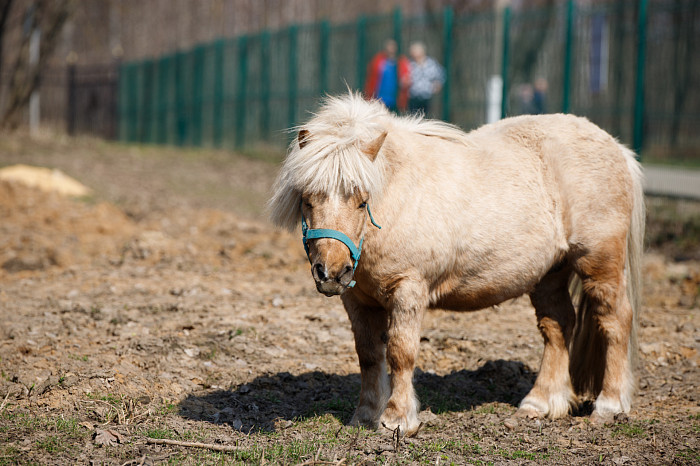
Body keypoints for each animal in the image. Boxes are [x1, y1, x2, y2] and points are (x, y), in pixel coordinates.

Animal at [268, 93, 644, 436]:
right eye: (307, 199)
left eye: (362, 201)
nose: (331, 272)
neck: (396, 198)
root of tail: (617, 148)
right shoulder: (357, 299)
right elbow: (369, 355)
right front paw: (364, 416)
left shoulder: (408, 290)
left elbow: (401, 352)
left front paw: (396, 421)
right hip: (549, 274)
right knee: (558, 326)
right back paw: (539, 404)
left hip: (599, 263)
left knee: (614, 320)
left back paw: (609, 406)